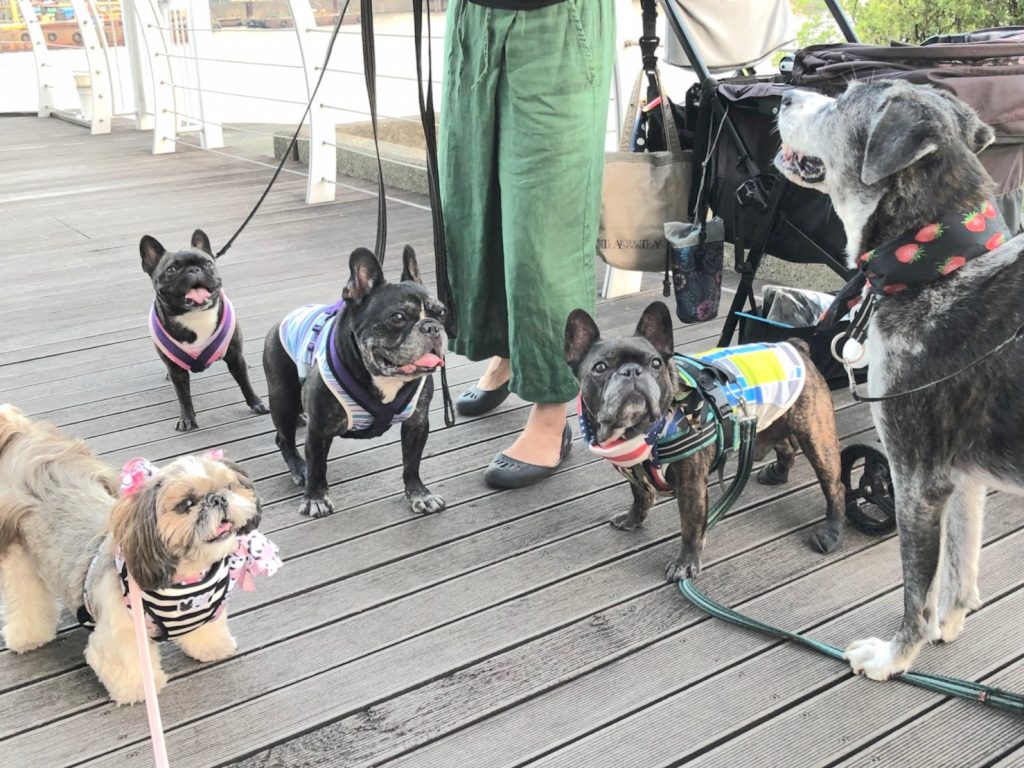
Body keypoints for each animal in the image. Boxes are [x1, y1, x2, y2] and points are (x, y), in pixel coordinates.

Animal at [0, 404, 267, 704]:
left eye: (228, 487)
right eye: (186, 504)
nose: (218, 499)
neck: (185, 580)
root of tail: (25, 443)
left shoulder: (202, 613)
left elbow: (205, 631)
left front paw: (212, 647)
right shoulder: (123, 634)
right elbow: (130, 663)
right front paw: (140, 689)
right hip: (18, 560)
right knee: (26, 599)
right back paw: (27, 638)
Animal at [141, 229, 268, 432]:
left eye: (208, 263)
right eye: (171, 270)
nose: (194, 270)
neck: (194, 316)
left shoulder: (234, 356)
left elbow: (245, 383)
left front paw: (256, 403)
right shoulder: (177, 372)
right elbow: (183, 396)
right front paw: (187, 419)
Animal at [263, 245, 447, 518]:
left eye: (442, 312)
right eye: (398, 317)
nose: (432, 326)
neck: (384, 378)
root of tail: (285, 319)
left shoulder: (417, 423)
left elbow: (412, 463)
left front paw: (420, 494)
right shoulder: (318, 429)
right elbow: (318, 466)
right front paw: (315, 497)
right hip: (282, 398)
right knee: (284, 439)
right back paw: (299, 468)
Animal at [565, 301, 846, 582]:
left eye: (656, 363)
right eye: (600, 368)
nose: (632, 371)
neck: (641, 432)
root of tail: (795, 346)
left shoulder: (691, 484)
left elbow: (691, 524)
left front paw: (685, 563)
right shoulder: (635, 471)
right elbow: (640, 494)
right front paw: (633, 519)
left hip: (817, 437)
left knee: (834, 486)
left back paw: (831, 532)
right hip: (774, 420)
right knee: (786, 445)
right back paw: (777, 473)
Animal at [776, 79, 1023, 680]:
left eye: (844, 101)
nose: (783, 94)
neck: (937, 263)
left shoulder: (916, 478)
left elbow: (917, 590)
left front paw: (895, 657)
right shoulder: (962, 476)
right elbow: (961, 563)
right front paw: (949, 627)